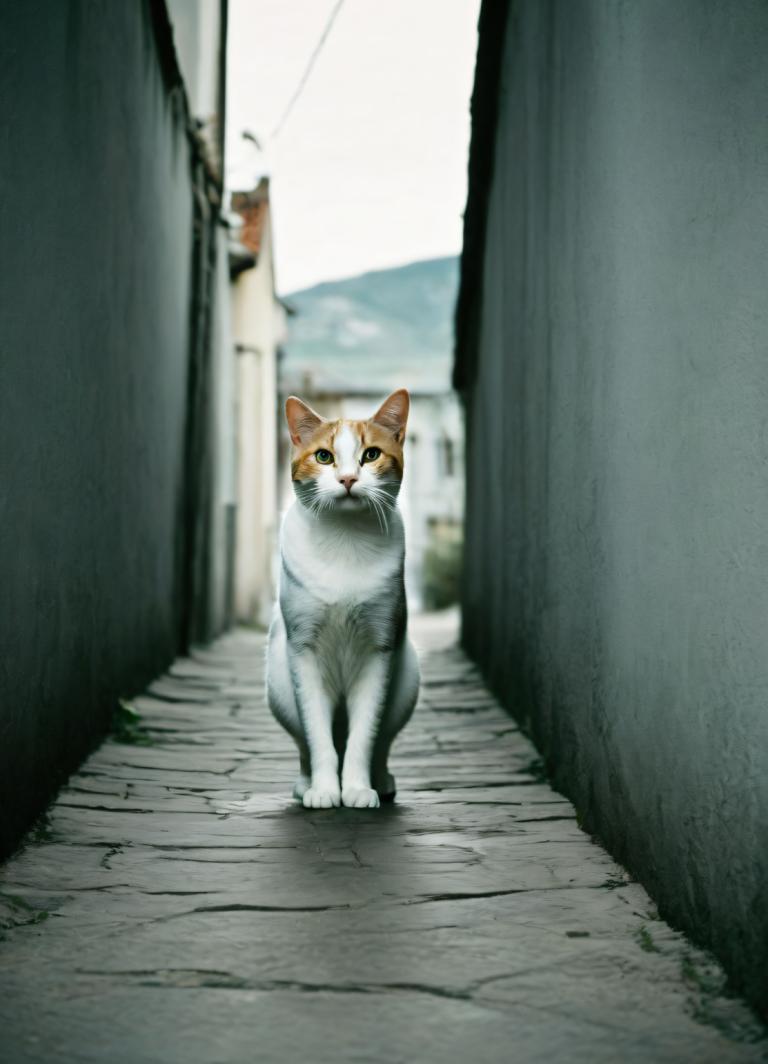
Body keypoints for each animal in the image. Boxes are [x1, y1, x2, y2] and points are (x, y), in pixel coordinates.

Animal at [263, 387, 419, 808]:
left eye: (371, 454)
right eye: (324, 456)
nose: (348, 478)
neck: (345, 539)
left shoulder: (379, 650)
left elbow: (364, 737)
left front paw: (357, 788)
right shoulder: (303, 651)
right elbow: (318, 737)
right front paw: (324, 789)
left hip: (407, 682)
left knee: (382, 742)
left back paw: (381, 780)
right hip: (279, 687)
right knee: (304, 744)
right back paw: (305, 785)